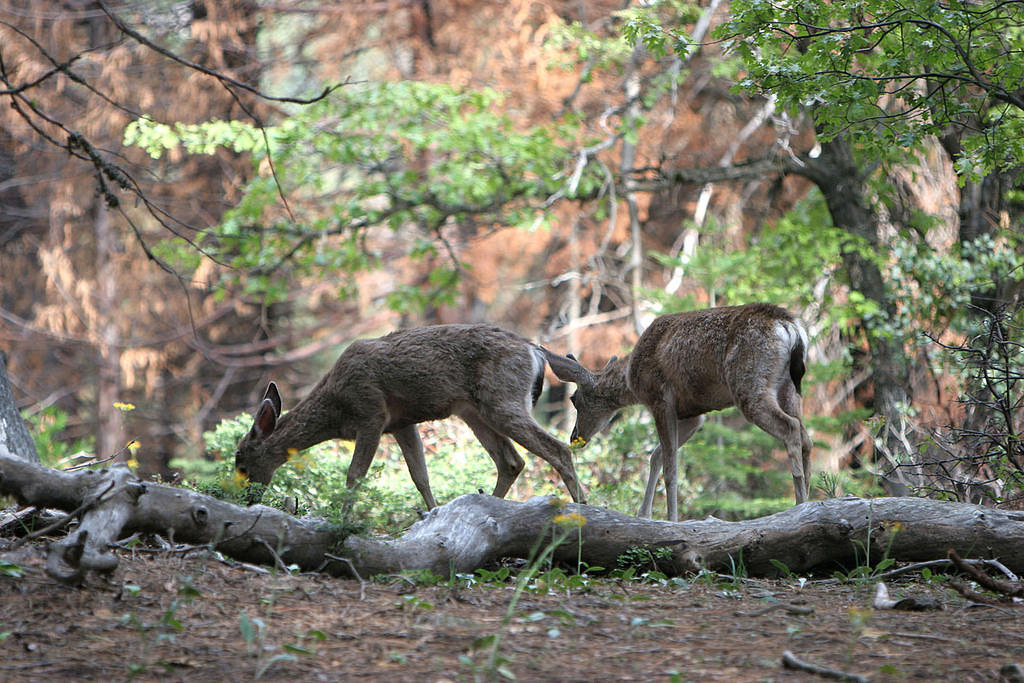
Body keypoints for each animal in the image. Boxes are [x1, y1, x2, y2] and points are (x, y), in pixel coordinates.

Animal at [232, 325, 585, 507]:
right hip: (474, 411)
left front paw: (342, 518)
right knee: (512, 462)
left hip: (502, 400)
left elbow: (354, 475)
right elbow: (420, 476)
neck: (336, 407)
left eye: (242, 463)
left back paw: (583, 511)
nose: (246, 499)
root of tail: (534, 351)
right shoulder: (401, 425)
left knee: (558, 449)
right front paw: (433, 515)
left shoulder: (372, 413)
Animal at [548, 301, 811, 520]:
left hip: (749, 384)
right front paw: (644, 514)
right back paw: (809, 503)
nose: (574, 437)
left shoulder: (660, 399)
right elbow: (656, 456)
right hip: (789, 388)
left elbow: (671, 468)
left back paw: (799, 504)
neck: (632, 381)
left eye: (574, 399)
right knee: (806, 437)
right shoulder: (693, 415)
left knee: (790, 428)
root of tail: (790, 327)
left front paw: (671, 519)